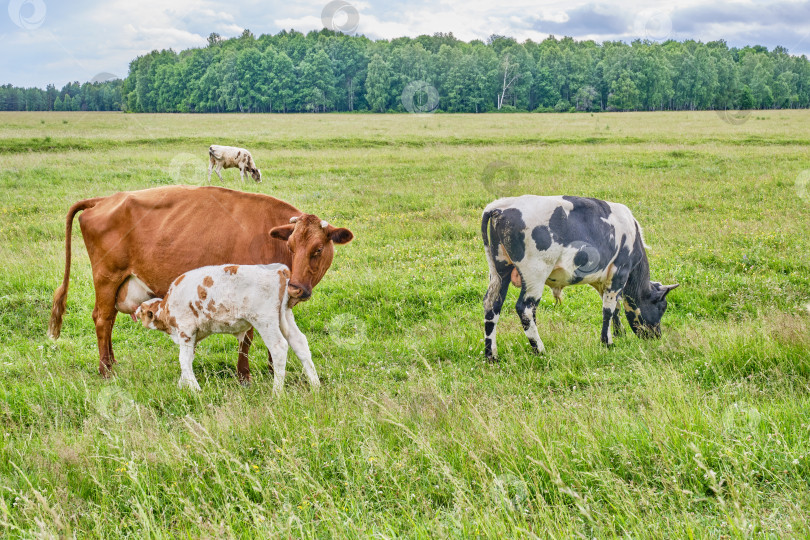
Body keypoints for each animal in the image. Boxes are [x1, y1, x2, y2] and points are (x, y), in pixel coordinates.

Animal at [137, 262, 318, 392]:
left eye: (143, 310)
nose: (136, 311)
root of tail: (277, 270)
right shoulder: (194, 336)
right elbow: (188, 360)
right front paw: (183, 385)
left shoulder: (186, 331)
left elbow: (183, 359)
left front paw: (194, 388)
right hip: (285, 316)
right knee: (299, 343)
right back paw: (315, 385)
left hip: (265, 321)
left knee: (278, 348)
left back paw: (277, 392)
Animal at [480, 194, 676, 358]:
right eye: (662, 307)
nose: (656, 336)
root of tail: (501, 206)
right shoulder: (620, 272)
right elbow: (608, 309)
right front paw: (608, 342)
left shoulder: (604, 280)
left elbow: (616, 307)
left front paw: (619, 333)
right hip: (534, 274)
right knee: (525, 309)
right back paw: (540, 350)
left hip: (499, 271)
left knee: (492, 305)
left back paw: (491, 355)